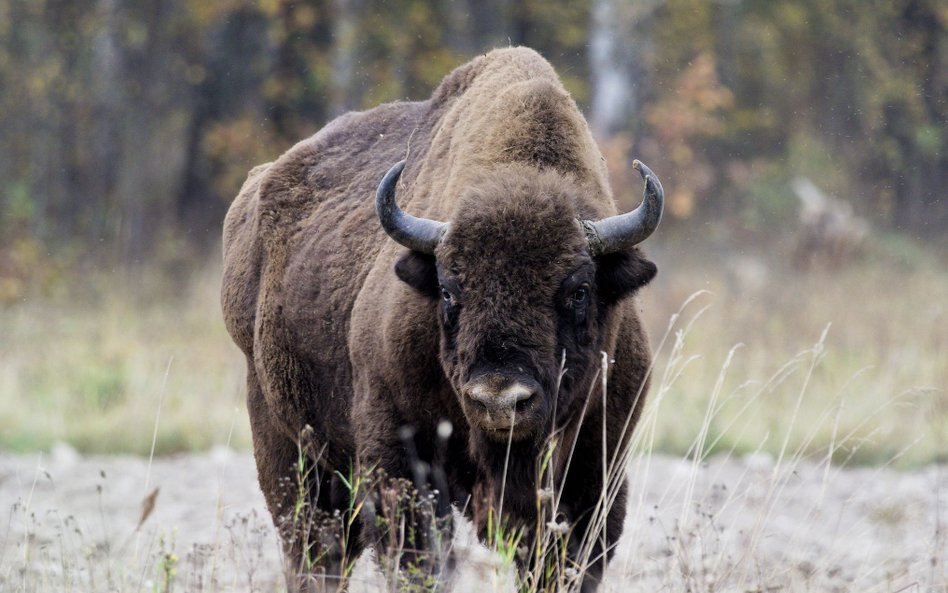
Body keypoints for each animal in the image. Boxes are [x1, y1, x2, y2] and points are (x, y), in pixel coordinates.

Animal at [222, 45, 668, 588]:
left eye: (580, 290)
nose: (500, 400)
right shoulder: (400, 456)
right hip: (286, 445)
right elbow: (418, 558)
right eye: (450, 291)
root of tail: (252, 197)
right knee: (314, 550)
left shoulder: (596, 467)